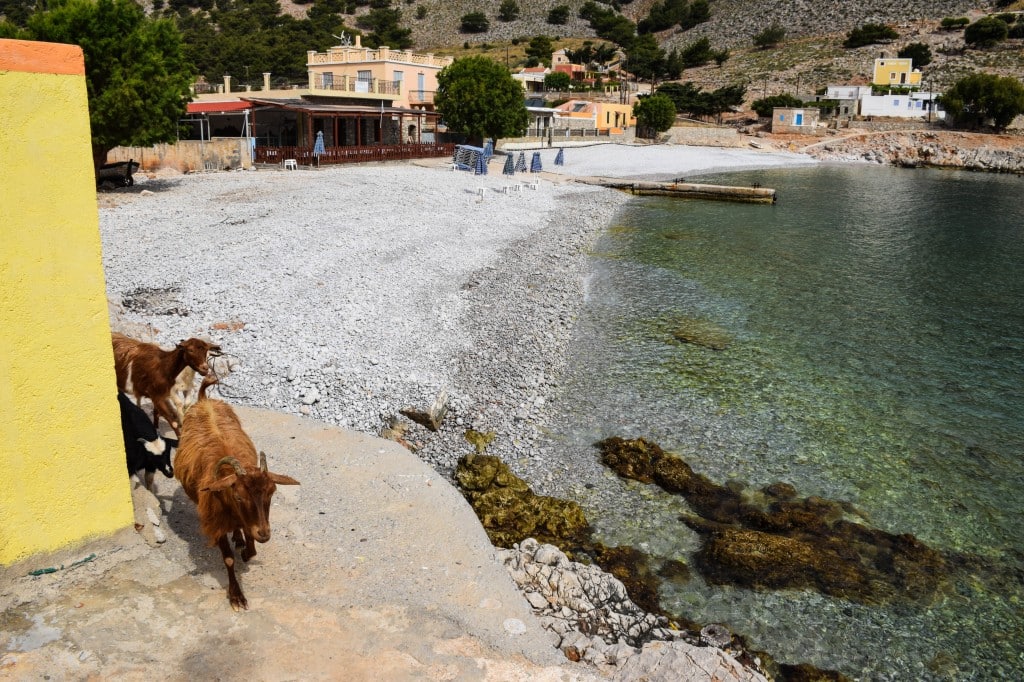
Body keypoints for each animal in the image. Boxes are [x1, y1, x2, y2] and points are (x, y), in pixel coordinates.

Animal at [175, 378, 299, 610]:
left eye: (271, 494)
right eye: (239, 496)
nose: (265, 534)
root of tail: (204, 399)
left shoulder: (251, 520)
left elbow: (251, 546)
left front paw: (246, 551)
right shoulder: (217, 523)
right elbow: (229, 559)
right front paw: (236, 596)